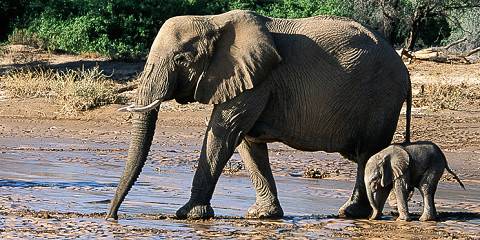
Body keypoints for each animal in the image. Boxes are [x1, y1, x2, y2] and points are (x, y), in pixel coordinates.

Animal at [107, 10, 410, 220]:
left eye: (181, 59)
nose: (112, 217)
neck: (214, 21)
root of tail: (405, 71)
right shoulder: (250, 77)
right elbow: (247, 141)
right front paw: (263, 216)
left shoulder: (258, 80)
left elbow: (225, 132)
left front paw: (188, 215)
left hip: (380, 98)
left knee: (368, 152)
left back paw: (351, 213)